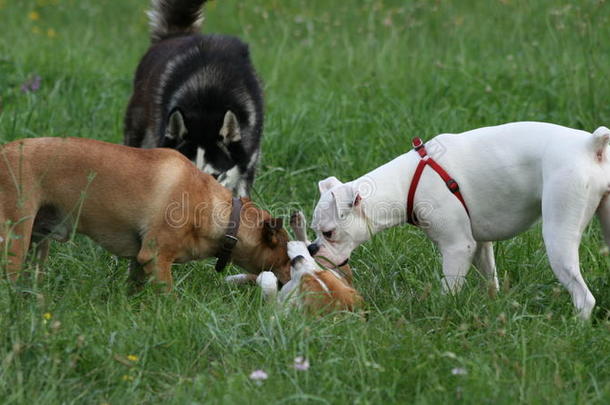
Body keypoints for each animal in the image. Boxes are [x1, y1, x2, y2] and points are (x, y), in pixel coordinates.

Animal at [0, 137, 290, 288]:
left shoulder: (140, 262)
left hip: (39, 242)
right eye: (289, 257)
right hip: (16, 239)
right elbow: (169, 295)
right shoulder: (156, 258)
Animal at [308, 121, 608, 318]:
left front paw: (440, 314)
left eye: (329, 233)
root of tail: (590, 145)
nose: (312, 248)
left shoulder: (457, 248)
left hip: (558, 236)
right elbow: (490, 281)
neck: (406, 183)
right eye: (314, 232)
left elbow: (449, 289)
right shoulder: (480, 246)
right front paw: (493, 306)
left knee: (584, 298)